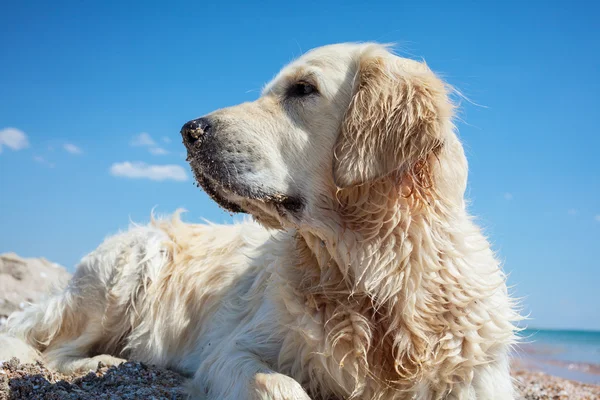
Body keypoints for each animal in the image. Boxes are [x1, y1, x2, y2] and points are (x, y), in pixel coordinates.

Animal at [4, 42, 520, 398]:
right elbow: (281, 385)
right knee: (51, 347)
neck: (369, 274)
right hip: (135, 260)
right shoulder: (231, 350)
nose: (189, 132)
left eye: (303, 89)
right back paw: (100, 364)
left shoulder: (479, 377)